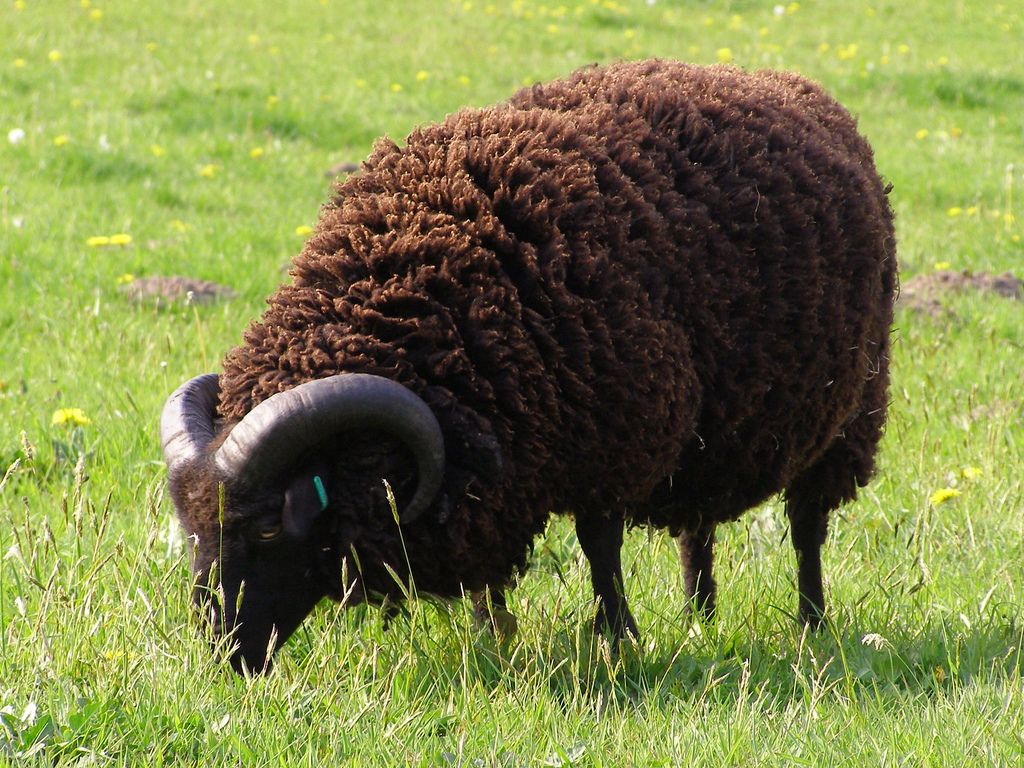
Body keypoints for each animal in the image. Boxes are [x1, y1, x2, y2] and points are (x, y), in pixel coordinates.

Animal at [161, 59, 897, 674]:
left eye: (266, 525)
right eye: (189, 529)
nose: (224, 653)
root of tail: (795, 86)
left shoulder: (613, 435)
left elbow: (600, 547)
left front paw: (617, 637)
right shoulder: (504, 453)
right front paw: (494, 633)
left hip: (850, 412)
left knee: (807, 528)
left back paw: (810, 624)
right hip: (712, 437)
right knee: (699, 527)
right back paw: (699, 615)